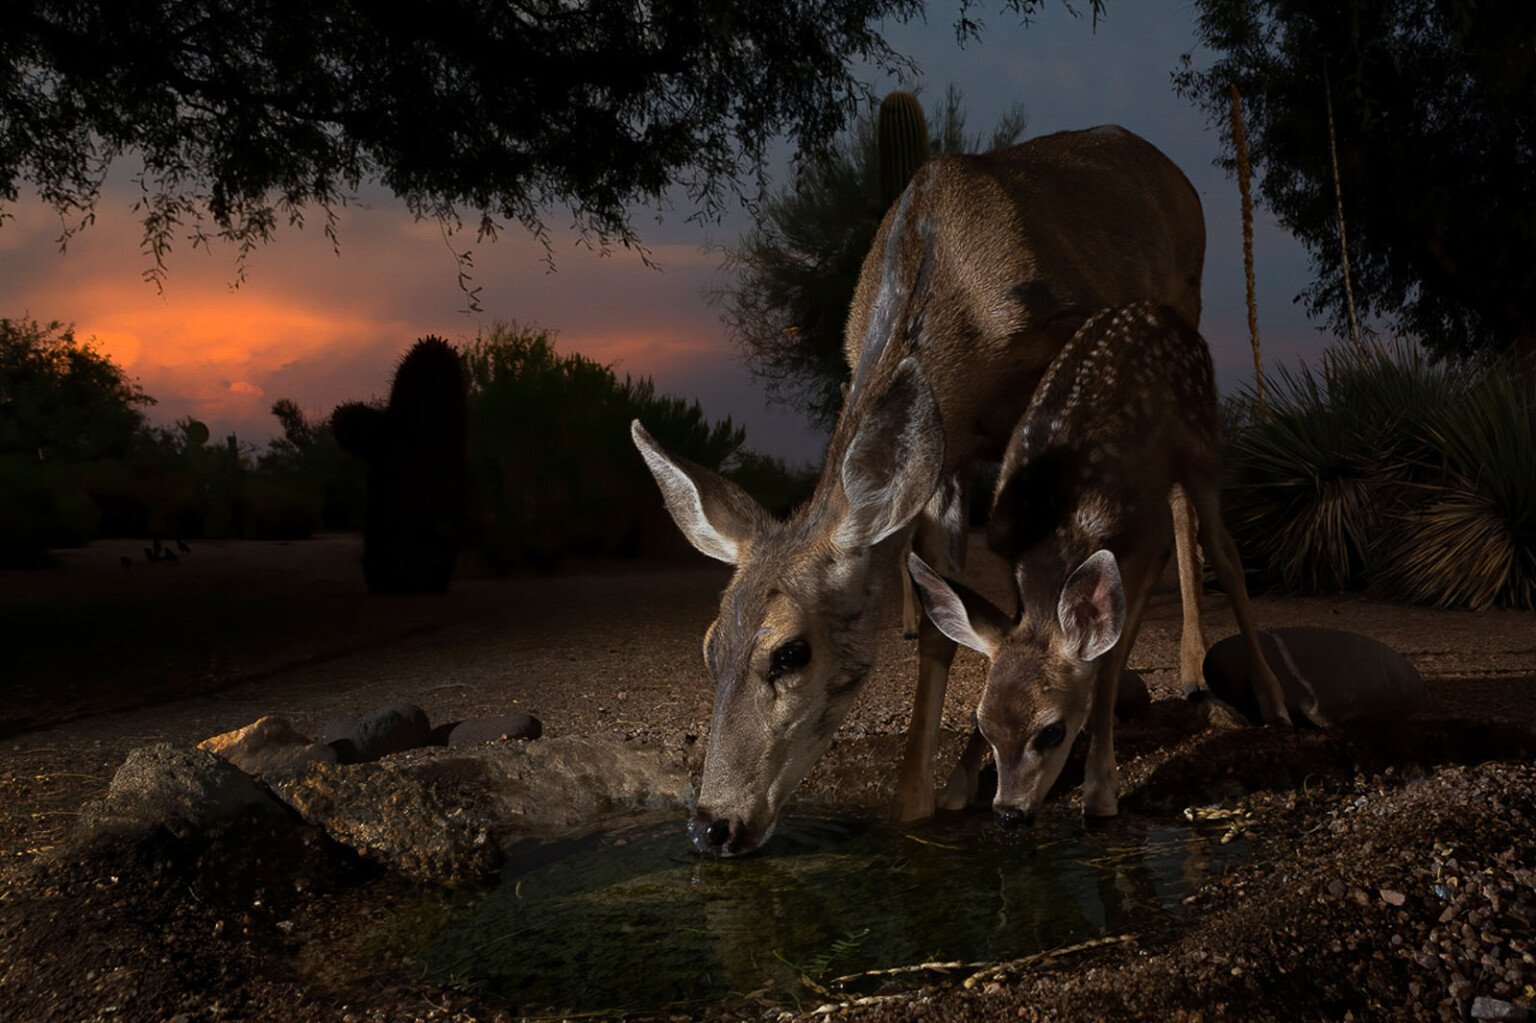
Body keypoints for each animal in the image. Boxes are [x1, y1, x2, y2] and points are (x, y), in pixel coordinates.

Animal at [629, 125, 1204, 854]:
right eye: (709, 646)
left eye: (791, 652)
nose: (711, 825)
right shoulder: (943, 457)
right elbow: (947, 621)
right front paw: (924, 798)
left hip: (1185, 312)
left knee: (1182, 499)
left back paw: (1194, 666)